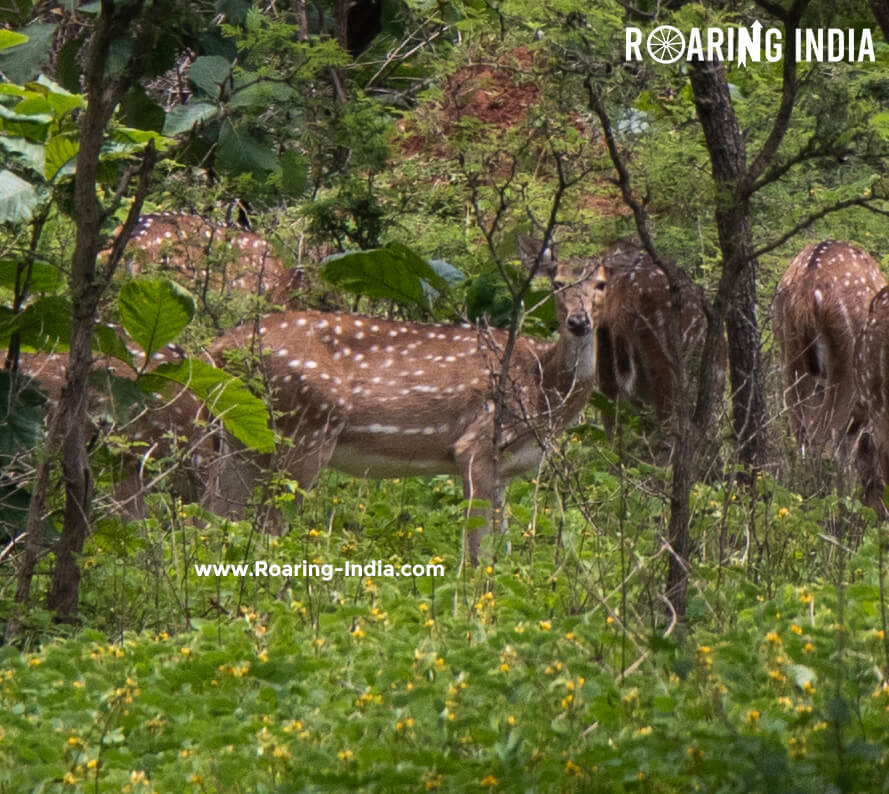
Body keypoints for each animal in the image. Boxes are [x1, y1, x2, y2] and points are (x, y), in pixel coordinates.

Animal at [204, 235, 607, 564]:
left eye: (601, 283)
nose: (578, 321)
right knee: (269, 525)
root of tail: (217, 348)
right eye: (557, 284)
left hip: (244, 435)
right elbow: (478, 548)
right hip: (303, 427)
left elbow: (503, 545)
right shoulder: (477, 443)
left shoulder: (502, 470)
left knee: (215, 515)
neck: (545, 387)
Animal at [772, 240, 887, 510]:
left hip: (790, 356)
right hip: (844, 361)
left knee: (801, 430)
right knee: (824, 435)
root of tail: (807, 284)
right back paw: (828, 501)